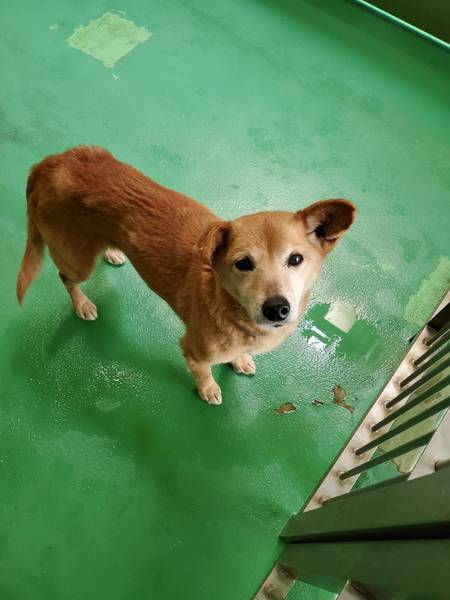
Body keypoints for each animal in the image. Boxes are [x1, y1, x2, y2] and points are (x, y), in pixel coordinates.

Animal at [17, 146, 355, 405]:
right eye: (243, 263)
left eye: (295, 259)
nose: (277, 309)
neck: (228, 304)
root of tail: (49, 163)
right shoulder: (194, 351)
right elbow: (204, 372)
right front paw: (209, 389)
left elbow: (237, 355)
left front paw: (240, 360)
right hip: (77, 260)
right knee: (66, 277)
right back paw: (82, 304)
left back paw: (113, 252)